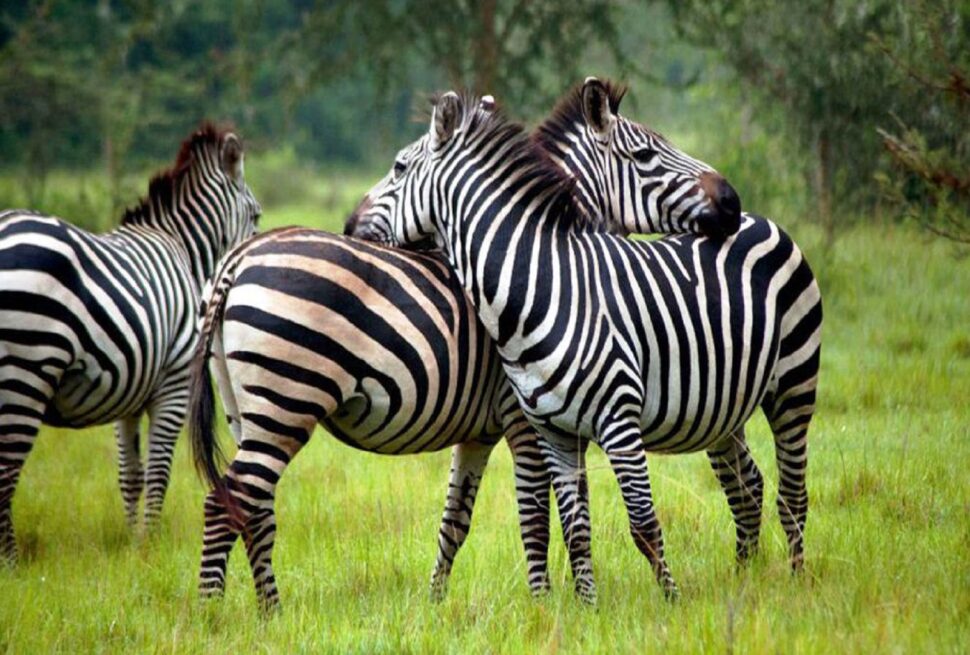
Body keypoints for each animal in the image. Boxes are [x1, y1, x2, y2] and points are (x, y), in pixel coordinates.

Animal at [0, 123, 261, 564]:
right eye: (256, 215)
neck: (183, 250)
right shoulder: (173, 383)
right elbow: (158, 471)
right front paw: (150, 543)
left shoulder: (130, 390)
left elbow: (131, 475)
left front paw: (132, 542)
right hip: (27, 370)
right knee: (5, 473)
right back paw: (12, 562)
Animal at [187, 99, 742, 612]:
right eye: (646, 154)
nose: (732, 203)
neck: (543, 266)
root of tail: (237, 258)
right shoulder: (524, 419)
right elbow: (539, 514)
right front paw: (545, 603)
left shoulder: (481, 432)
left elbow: (458, 519)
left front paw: (437, 604)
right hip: (286, 398)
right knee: (225, 501)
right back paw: (214, 614)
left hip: (248, 409)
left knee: (254, 507)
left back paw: (270, 612)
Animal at [349, 90, 822, 601]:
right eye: (645, 154)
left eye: (398, 167)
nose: (731, 201)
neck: (543, 280)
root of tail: (764, 222)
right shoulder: (542, 427)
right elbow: (558, 521)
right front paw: (573, 603)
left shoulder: (584, 421)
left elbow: (579, 519)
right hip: (722, 407)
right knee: (748, 485)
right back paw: (745, 578)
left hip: (791, 386)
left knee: (788, 492)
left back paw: (792, 580)